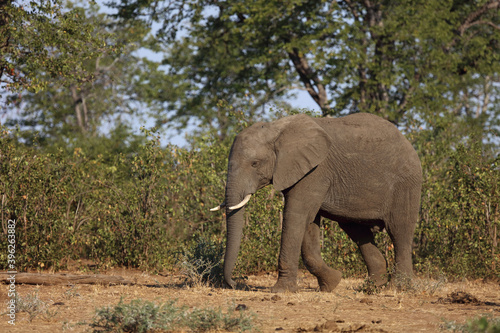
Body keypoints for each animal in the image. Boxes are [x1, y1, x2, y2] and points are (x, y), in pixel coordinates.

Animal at [209, 113, 420, 292]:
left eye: (255, 164)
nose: (235, 283)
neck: (276, 128)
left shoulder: (316, 171)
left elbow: (296, 215)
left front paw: (281, 291)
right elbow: (308, 223)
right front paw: (332, 283)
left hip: (405, 185)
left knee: (399, 231)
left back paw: (398, 288)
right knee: (357, 231)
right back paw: (373, 286)